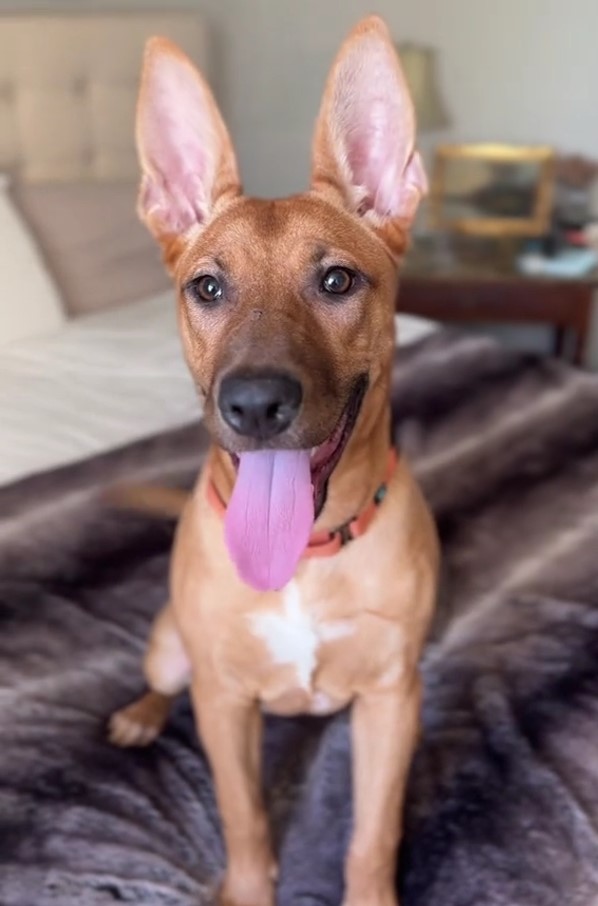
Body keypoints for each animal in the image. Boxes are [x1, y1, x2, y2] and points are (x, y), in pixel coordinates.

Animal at [110, 15, 440, 904]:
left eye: (336, 281)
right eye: (206, 289)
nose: (254, 405)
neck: (304, 560)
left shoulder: (394, 699)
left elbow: (371, 835)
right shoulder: (224, 704)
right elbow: (246, 824)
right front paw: (247, 885)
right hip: (172, 648)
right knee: (162, 679)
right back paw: (141, 715)